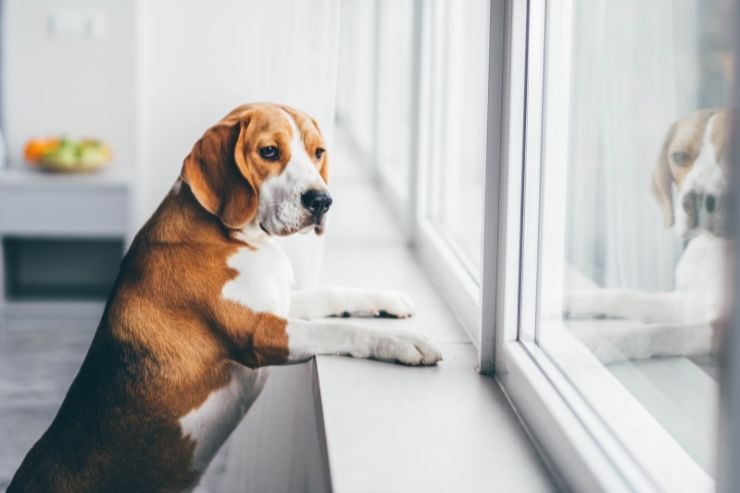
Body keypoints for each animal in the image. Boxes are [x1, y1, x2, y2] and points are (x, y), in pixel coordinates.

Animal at [8, 102, 442, 490]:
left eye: (318, 152)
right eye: (269, 152)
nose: (321, 201)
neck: (234, 236)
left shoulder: (279, 303)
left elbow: (331, 294)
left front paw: (387, 299)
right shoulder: (260, 333)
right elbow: (336, 332)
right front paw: (404, 343)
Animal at [568, 107, 728, 362]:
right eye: (679, 156)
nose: (694, 201)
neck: (715, 249)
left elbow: (665, 331)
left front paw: (610, 341)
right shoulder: (684, 304)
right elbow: (622, 296)